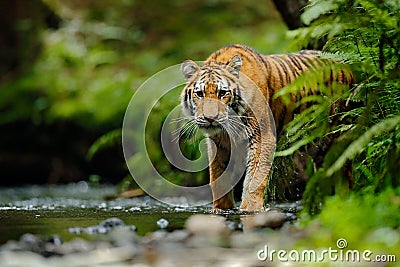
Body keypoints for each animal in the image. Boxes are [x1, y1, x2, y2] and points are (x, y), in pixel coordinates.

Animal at [180, 43, 352, 211]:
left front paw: (250, 209)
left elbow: (255, 177)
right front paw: (221, 209)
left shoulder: (261, 136)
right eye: (200, 94)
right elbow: (218, 177)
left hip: (339, 141)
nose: (210, 118)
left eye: (222, 93)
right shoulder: (218, 144)